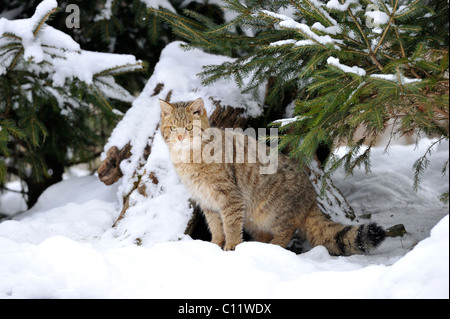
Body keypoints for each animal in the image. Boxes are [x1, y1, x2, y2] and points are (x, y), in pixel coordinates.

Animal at [160, 99, 384, 256]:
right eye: (173, 127)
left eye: (189, 127)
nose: (180, 137)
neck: (188, 159)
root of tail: (311, 196)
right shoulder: (207, 201)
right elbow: (216, 227)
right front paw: (213, 246)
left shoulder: (230, 198)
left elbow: (230, 226)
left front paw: (231, 247)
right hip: (254, 220)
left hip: (275, 212)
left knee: (287, 231)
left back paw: (273, 248)